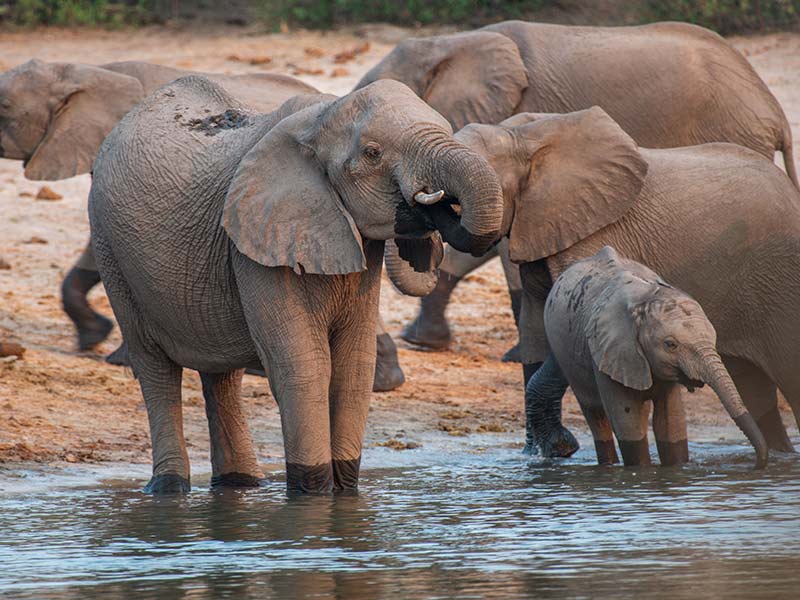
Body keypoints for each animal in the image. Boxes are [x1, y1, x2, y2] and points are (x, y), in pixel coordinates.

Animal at [90, 77, 504, 494]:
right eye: (372, 154)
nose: (432, 206)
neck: (319, 120)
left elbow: (355, 367)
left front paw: (345, 494)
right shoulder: (259, 243)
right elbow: (304, 366)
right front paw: (313, 495)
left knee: (221, 375)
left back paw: (240, 483)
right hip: (110, 249)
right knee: (155, 368)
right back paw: (168, 488)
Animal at [540, 245, 764, 468]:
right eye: (670, 345)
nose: (757, 463)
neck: (645, 298)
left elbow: (671, 422)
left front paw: (676, 468)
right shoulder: (609, 352)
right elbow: (628, 422)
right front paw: (641, 471)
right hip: (566, 357)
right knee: (596, 417)